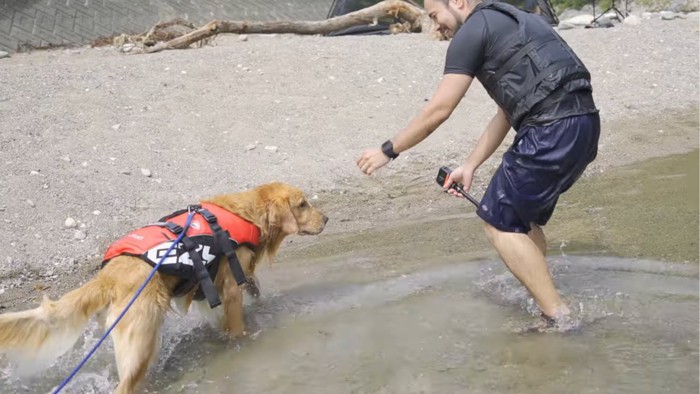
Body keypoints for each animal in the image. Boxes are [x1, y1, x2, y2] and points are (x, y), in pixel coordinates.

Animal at [0, 183, 326, 392]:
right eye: (302, 204)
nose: (326, 218)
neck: (246, 213)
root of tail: (110, 276)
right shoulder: (231, 287)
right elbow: (237, 326)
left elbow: (251, 291)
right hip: (141, 340)